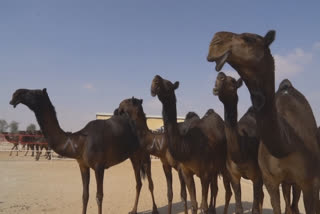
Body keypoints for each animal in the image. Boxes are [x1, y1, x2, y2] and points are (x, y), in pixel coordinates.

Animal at [9, 88, 159, 214]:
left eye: (33, 92)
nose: (15, 95)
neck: (78, 141)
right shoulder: (83, 165)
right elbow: (85, 196)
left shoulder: (99, 167)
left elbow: (99, 196)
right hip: (133, 156)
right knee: (138, 182)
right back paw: (133, 210)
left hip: (145, 154)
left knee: (150, 183)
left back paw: (155, 210)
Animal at [150, 75, 232, 214]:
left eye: (168, 84)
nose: (155, 80)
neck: (187, 146)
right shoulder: (186, 172)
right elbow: (194, 204)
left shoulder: (204, 173)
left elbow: (202, 206)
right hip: (215, 169)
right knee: (217, 189)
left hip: (224, 166)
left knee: (228, 191)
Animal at [212, 72, 262, 214]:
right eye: (216, 80)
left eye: (233, 81)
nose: (220, 76)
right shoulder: (233, 175)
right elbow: (239, 207)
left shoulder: (257, 176)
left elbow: (255, 208)